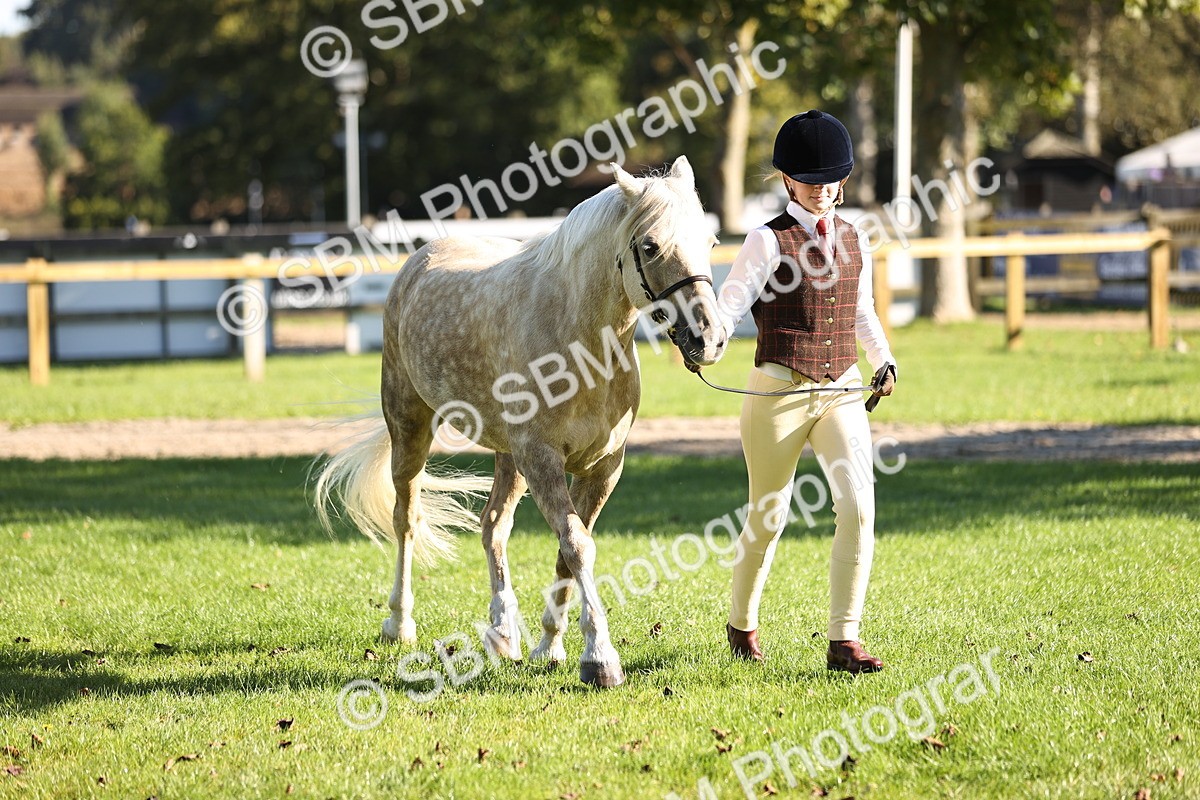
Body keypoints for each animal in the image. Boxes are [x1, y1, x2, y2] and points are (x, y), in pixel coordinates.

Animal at [313, 156, 726, 688]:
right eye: (651, 246)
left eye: (710, 242)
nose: (709, 339)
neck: (579, 342)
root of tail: (419, 259)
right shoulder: (542, 458)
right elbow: (578, 547)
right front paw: (600, 658)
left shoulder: (602, 467)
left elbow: (566, 552)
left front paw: (550, 646)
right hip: (411, 429)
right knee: (406, 520)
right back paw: (400, 623)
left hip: (507, 456)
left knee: (493, 526)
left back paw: (502, 632)